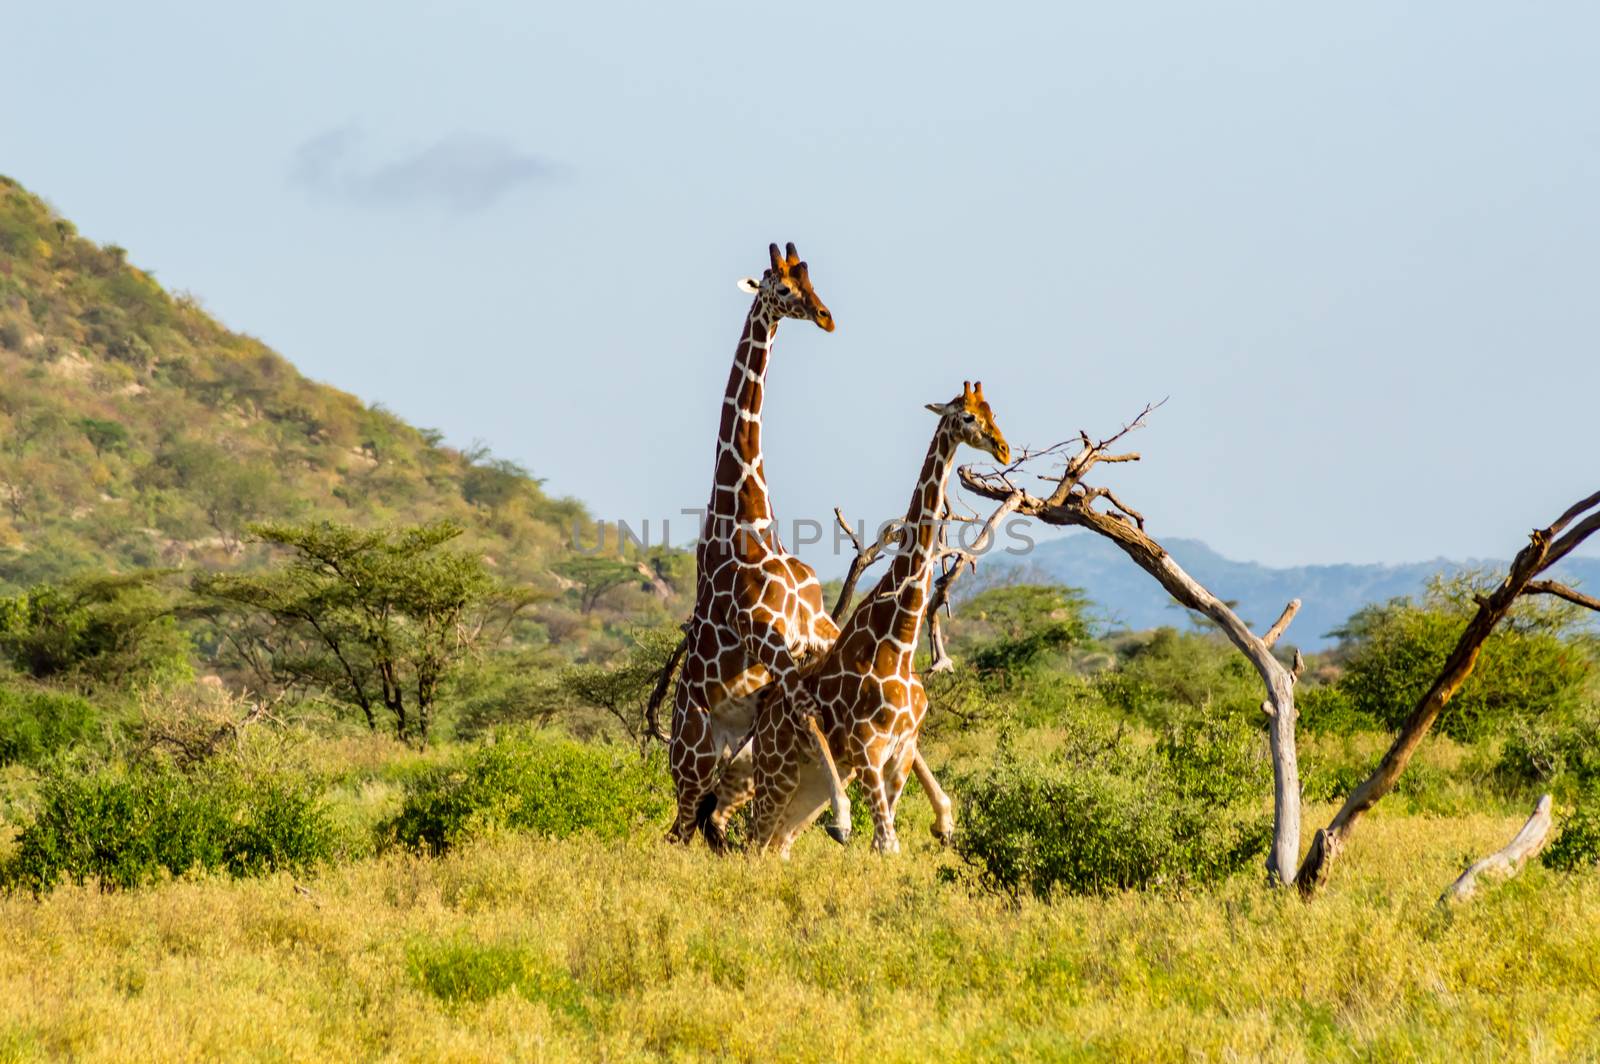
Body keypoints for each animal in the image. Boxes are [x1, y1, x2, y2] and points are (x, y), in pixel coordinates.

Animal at [665, 244, 857, 844]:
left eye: (812, 280)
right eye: (783, 288)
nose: (827, 317)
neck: (749, 526)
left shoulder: (818, 631)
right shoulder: (770, 642)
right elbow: (810, 708)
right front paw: (842, 816)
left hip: (734, 761)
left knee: (712, 826)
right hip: (694, 762)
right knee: (679, 833)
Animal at [729, 382, 1011, 857]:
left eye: (994, 412)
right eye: (968, 417)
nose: (1005, 450)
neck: (898, 642)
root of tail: (761, 727)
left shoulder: (900, 752)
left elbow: (887, 840)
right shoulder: (867, 751)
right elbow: (887, 843)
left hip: (807, 792)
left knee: (777, 845)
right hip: (778, 775)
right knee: (753, 843)